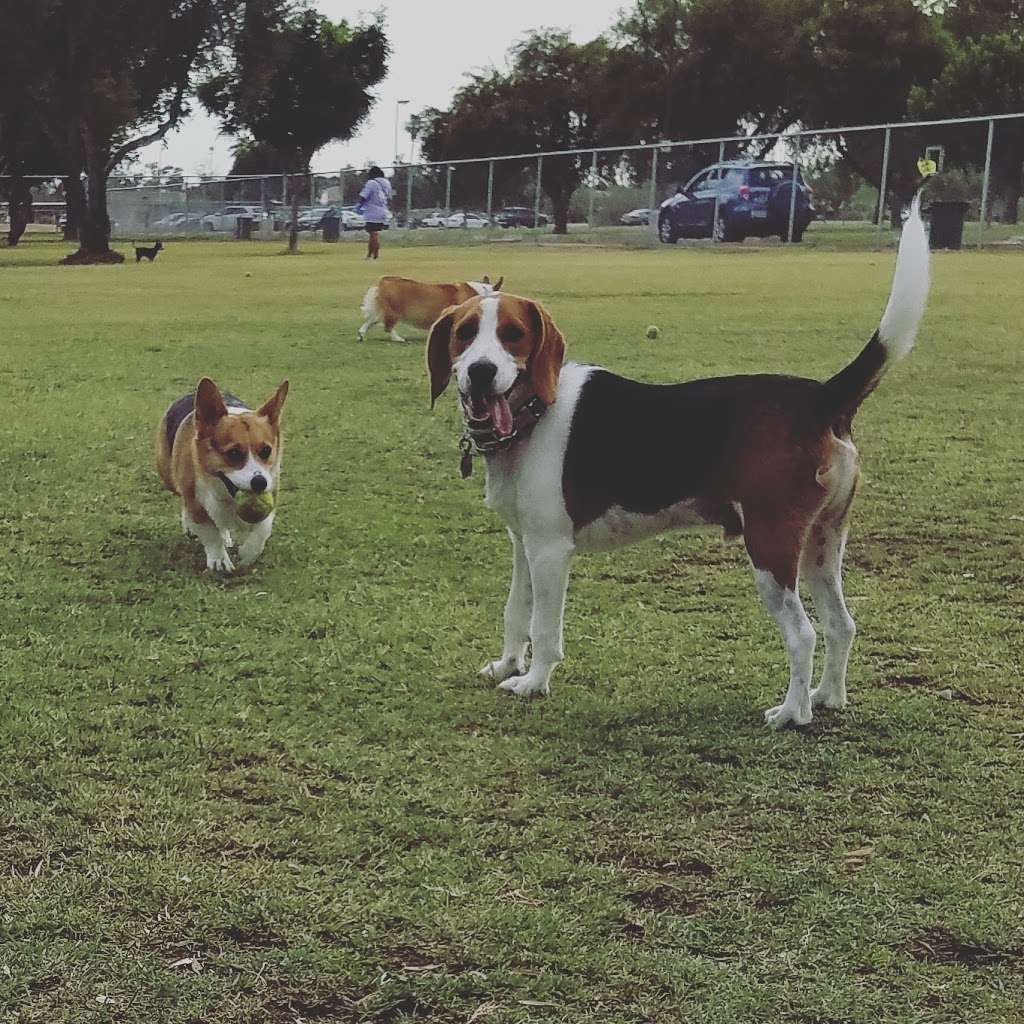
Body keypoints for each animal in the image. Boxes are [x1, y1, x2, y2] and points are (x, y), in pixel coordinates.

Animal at [428, 197, 933, 729]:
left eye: (514, 335)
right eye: (464, 334)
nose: (482, 372)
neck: (533, 414)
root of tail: (820, 397)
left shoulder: (550, 550)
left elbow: (544, 629)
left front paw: (533, 683)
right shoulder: (523, 543)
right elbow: (514, 612)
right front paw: (507, 665)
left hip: (770, 547)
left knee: (804, 634)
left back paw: (792, 714)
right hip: (822, 543)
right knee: (841, 625)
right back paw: (827, 697)